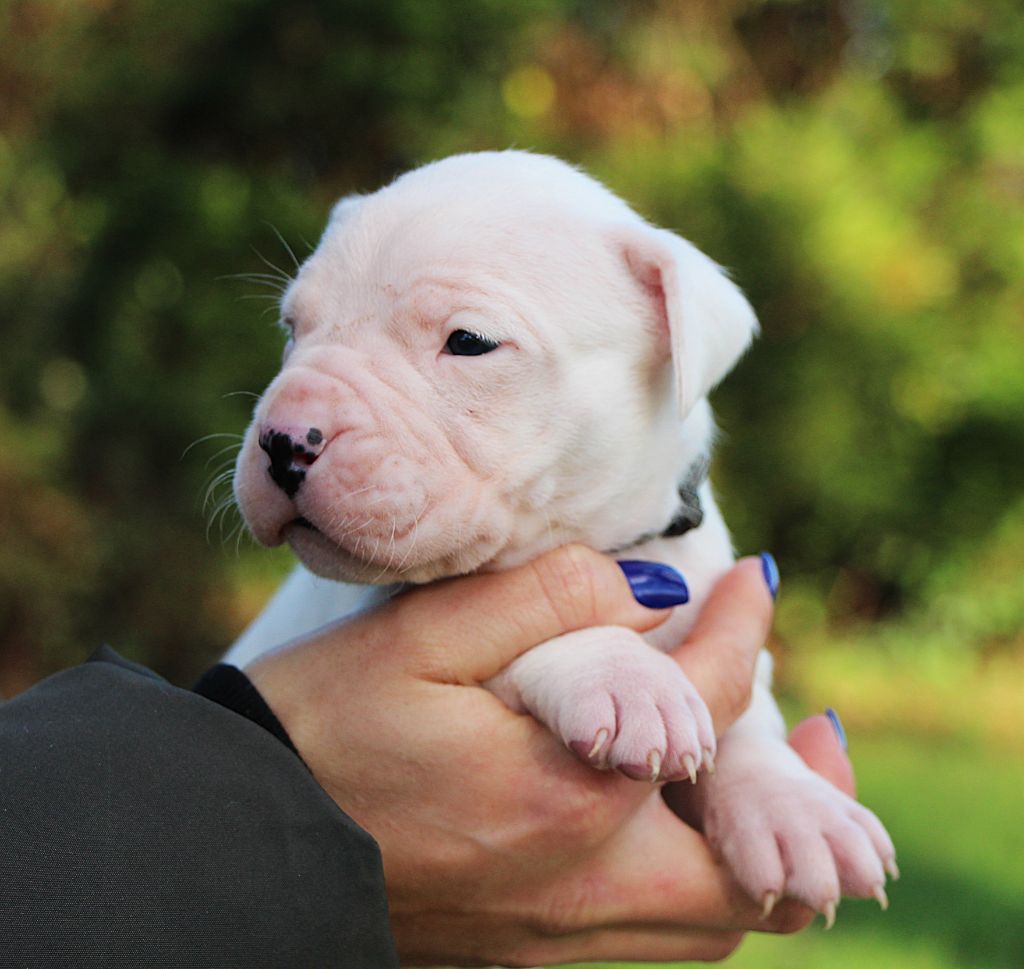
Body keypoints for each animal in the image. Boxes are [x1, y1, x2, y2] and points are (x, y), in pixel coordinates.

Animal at [226, 149, 897, 921]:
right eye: (292, 329)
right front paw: (628, 677)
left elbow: (752, 719)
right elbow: (542, 631)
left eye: (470, 343)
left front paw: (795, 810)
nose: (282, 440)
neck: (610, 540)